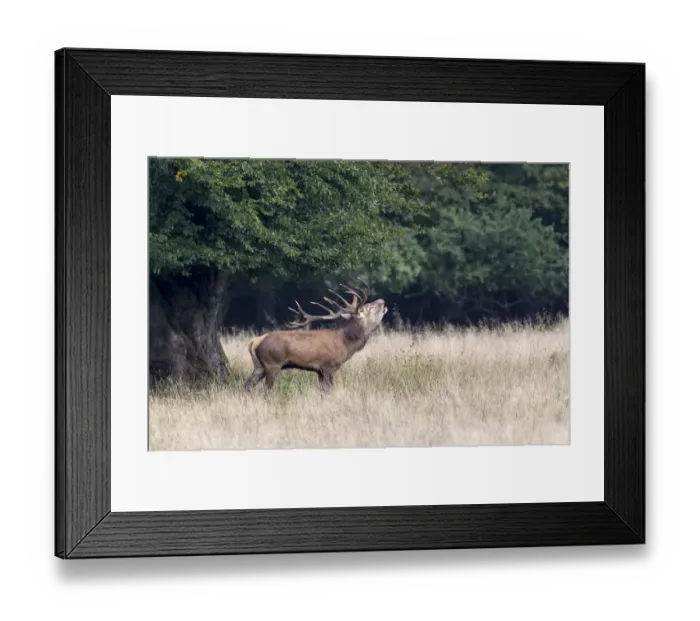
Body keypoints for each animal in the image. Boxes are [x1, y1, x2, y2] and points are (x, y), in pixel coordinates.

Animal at [244, 281, 387, 392]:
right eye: (369, 307)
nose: (382, 300)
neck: (346, 344)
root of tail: (255, 341)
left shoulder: (319, 371)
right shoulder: (329, 366)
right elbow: (328, 390)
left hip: (259, 366)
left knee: (247, 386)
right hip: (272, 363)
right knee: (265, 390)